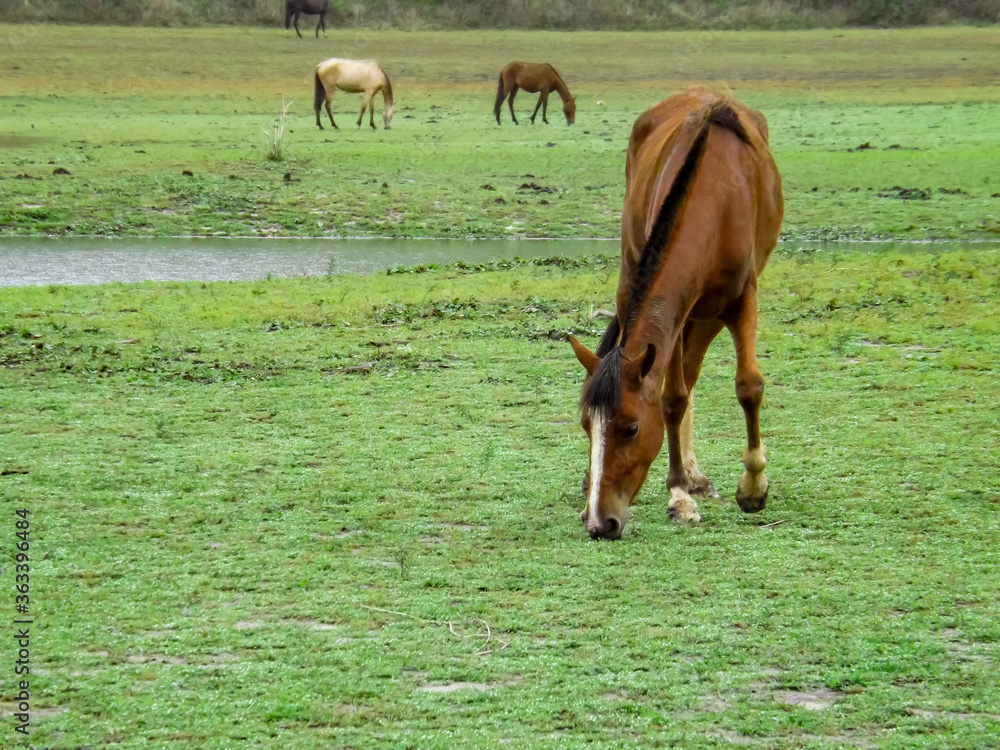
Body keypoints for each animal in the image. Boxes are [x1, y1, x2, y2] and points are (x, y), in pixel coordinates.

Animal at [568, 88, 783, 540]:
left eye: (631, 428)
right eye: (585, 425)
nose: (600, 522)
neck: (715, 202)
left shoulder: (741, 299)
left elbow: (748, 386)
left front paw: (753, 486)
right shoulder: (674, 311)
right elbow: (672, 398)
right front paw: (679, 493)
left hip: (709, 316)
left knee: (694, 372)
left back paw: (698, 475)